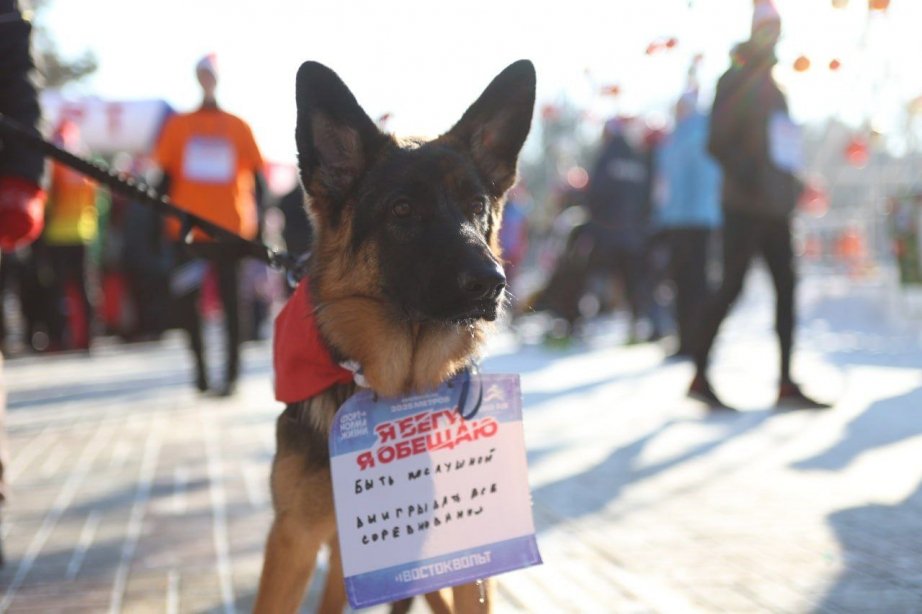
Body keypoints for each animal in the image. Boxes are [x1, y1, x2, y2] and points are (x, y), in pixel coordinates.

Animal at [255, 59, 536, 614]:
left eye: (477, 205)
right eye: (403, 210)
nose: (493, 282)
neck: (396, 385)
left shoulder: (470, 558)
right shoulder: (292, 541)